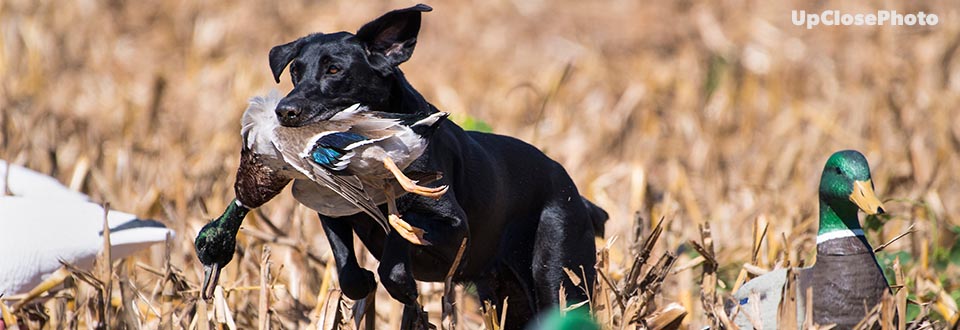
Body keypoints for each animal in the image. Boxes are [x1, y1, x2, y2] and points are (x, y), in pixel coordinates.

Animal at [268, 4, 608, 328]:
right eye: (295, 71)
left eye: (334, 69)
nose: (284, 111)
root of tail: (575, 195)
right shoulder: (333, 212)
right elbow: (348, 269)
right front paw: (366, 281)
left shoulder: (456, 229)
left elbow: (399, 229)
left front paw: (403, 284)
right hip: (507, 298)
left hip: (559, 278)